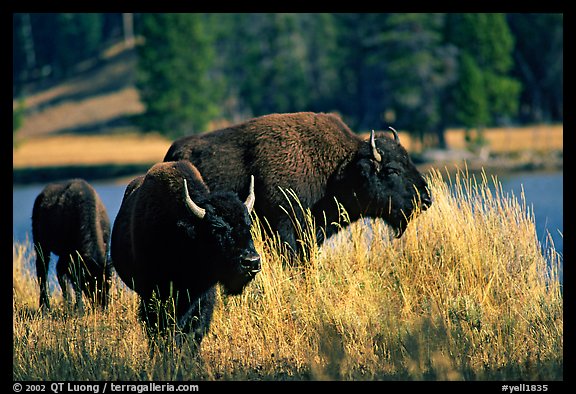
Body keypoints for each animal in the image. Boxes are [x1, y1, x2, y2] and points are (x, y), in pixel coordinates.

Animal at [32, 179, 112, 310]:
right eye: (90, 281)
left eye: (108, 282)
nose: (102, 305)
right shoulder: (69, 257)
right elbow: (74, 281)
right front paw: (78, 308)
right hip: (41, 247)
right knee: (42, 272)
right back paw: (45, 306)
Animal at [110, 160, 258, 348]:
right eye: (216, 228)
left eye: (248, 225)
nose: (252, 261)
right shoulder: (152, 295)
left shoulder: (203, 296)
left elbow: (195, 330)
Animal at [164, 112, 430, 258]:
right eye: (392, 169)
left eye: (409, 161)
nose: (427, 199)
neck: (339, 167)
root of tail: (171, 154)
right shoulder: (285, 229)